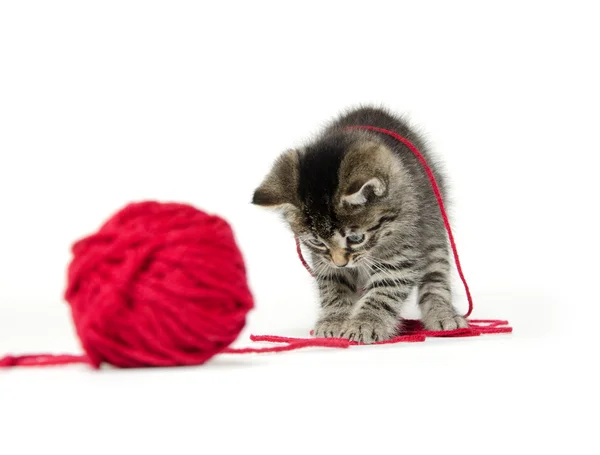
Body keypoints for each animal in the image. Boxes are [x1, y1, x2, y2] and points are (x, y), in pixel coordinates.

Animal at [251, 106, 466, 342]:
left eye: (355, 238)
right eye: (317, 242)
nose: (341, 263)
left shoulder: (403, 249)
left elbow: (384, 290)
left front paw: (366, 323)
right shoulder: (324, 262)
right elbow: (333, 287)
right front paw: (334, 320)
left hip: (433, 225)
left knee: (436, 275)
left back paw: (443, 313)